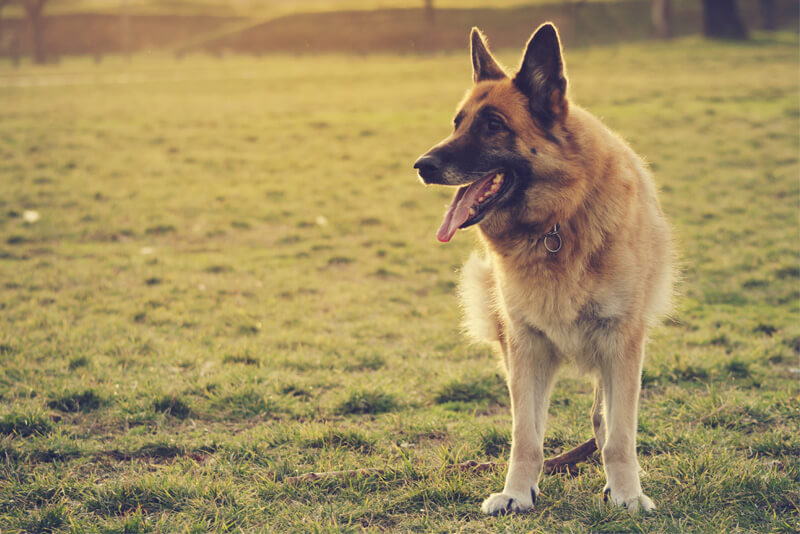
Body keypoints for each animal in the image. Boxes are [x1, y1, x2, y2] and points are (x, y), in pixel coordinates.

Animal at [416, 24, 672, 516]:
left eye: (493, 125)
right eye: (458, 122)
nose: (421, 166)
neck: (556, 223)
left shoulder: (622, 344)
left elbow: (620, 434)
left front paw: (627, 494)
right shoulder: (526, 349)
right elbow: (526, 437)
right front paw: (518, 492)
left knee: (605, 418)